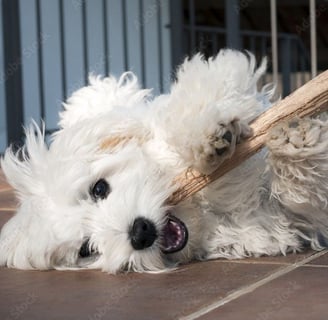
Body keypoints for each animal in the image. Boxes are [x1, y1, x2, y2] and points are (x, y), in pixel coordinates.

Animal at [0, 49, 328, 272]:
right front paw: (295, 142)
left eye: (99, 189)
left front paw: (207, 137)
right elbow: (302, 194)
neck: (199, 212)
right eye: (86, 249)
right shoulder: (275, 220)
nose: (139, 233)